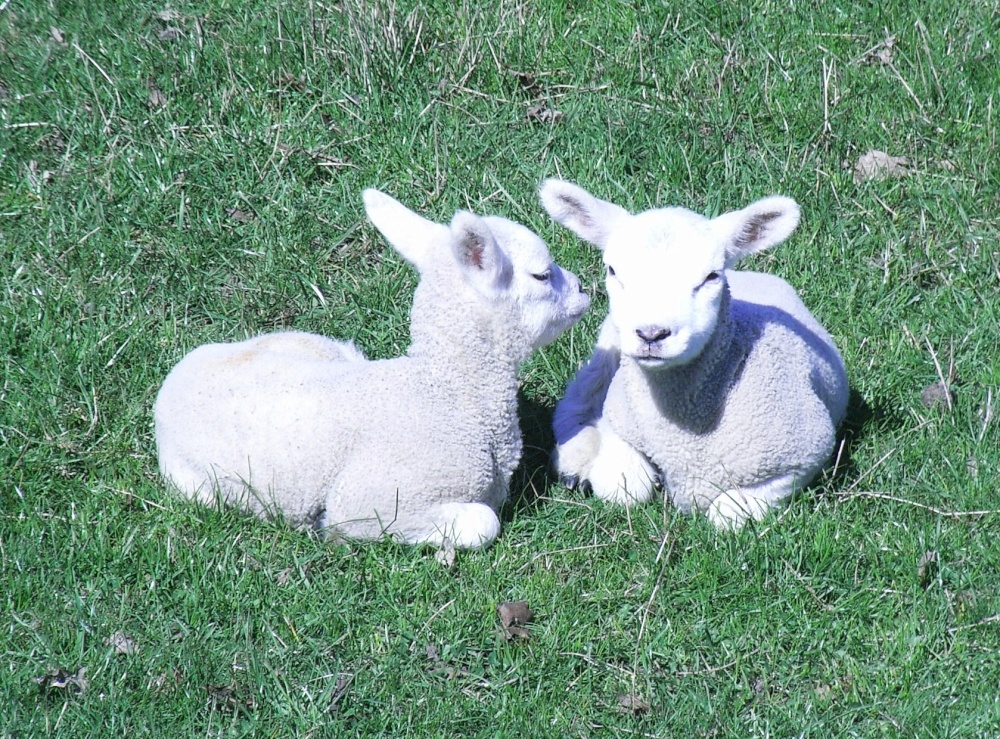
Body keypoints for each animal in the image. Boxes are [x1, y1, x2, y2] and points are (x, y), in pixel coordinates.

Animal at [154, 189, 591, 549]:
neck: (448, 391)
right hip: (198, 486)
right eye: (541, 275)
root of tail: (174, 381)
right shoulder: (372, 503)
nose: (583, 289)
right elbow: (484, 523)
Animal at [540, 179, 848, 530]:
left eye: (711, 276)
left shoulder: (806, 454)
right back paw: (575, 457)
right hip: (607, 348)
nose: (651, 334)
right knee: (577, 402)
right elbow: (623, 489)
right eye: (613, 270)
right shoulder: (620, 421)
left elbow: (727, 514)